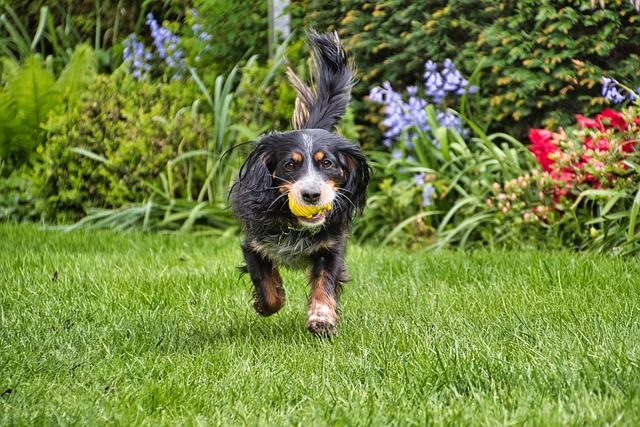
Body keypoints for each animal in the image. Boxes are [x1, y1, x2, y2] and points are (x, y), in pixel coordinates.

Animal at [231, 30, 370, 338]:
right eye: (290, 165)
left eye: (327, 163)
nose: (311, 194)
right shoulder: (254, 245)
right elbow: (268, 288)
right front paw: (267, 303)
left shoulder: (331, 247)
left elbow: (324, 284)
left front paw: (322, 320)